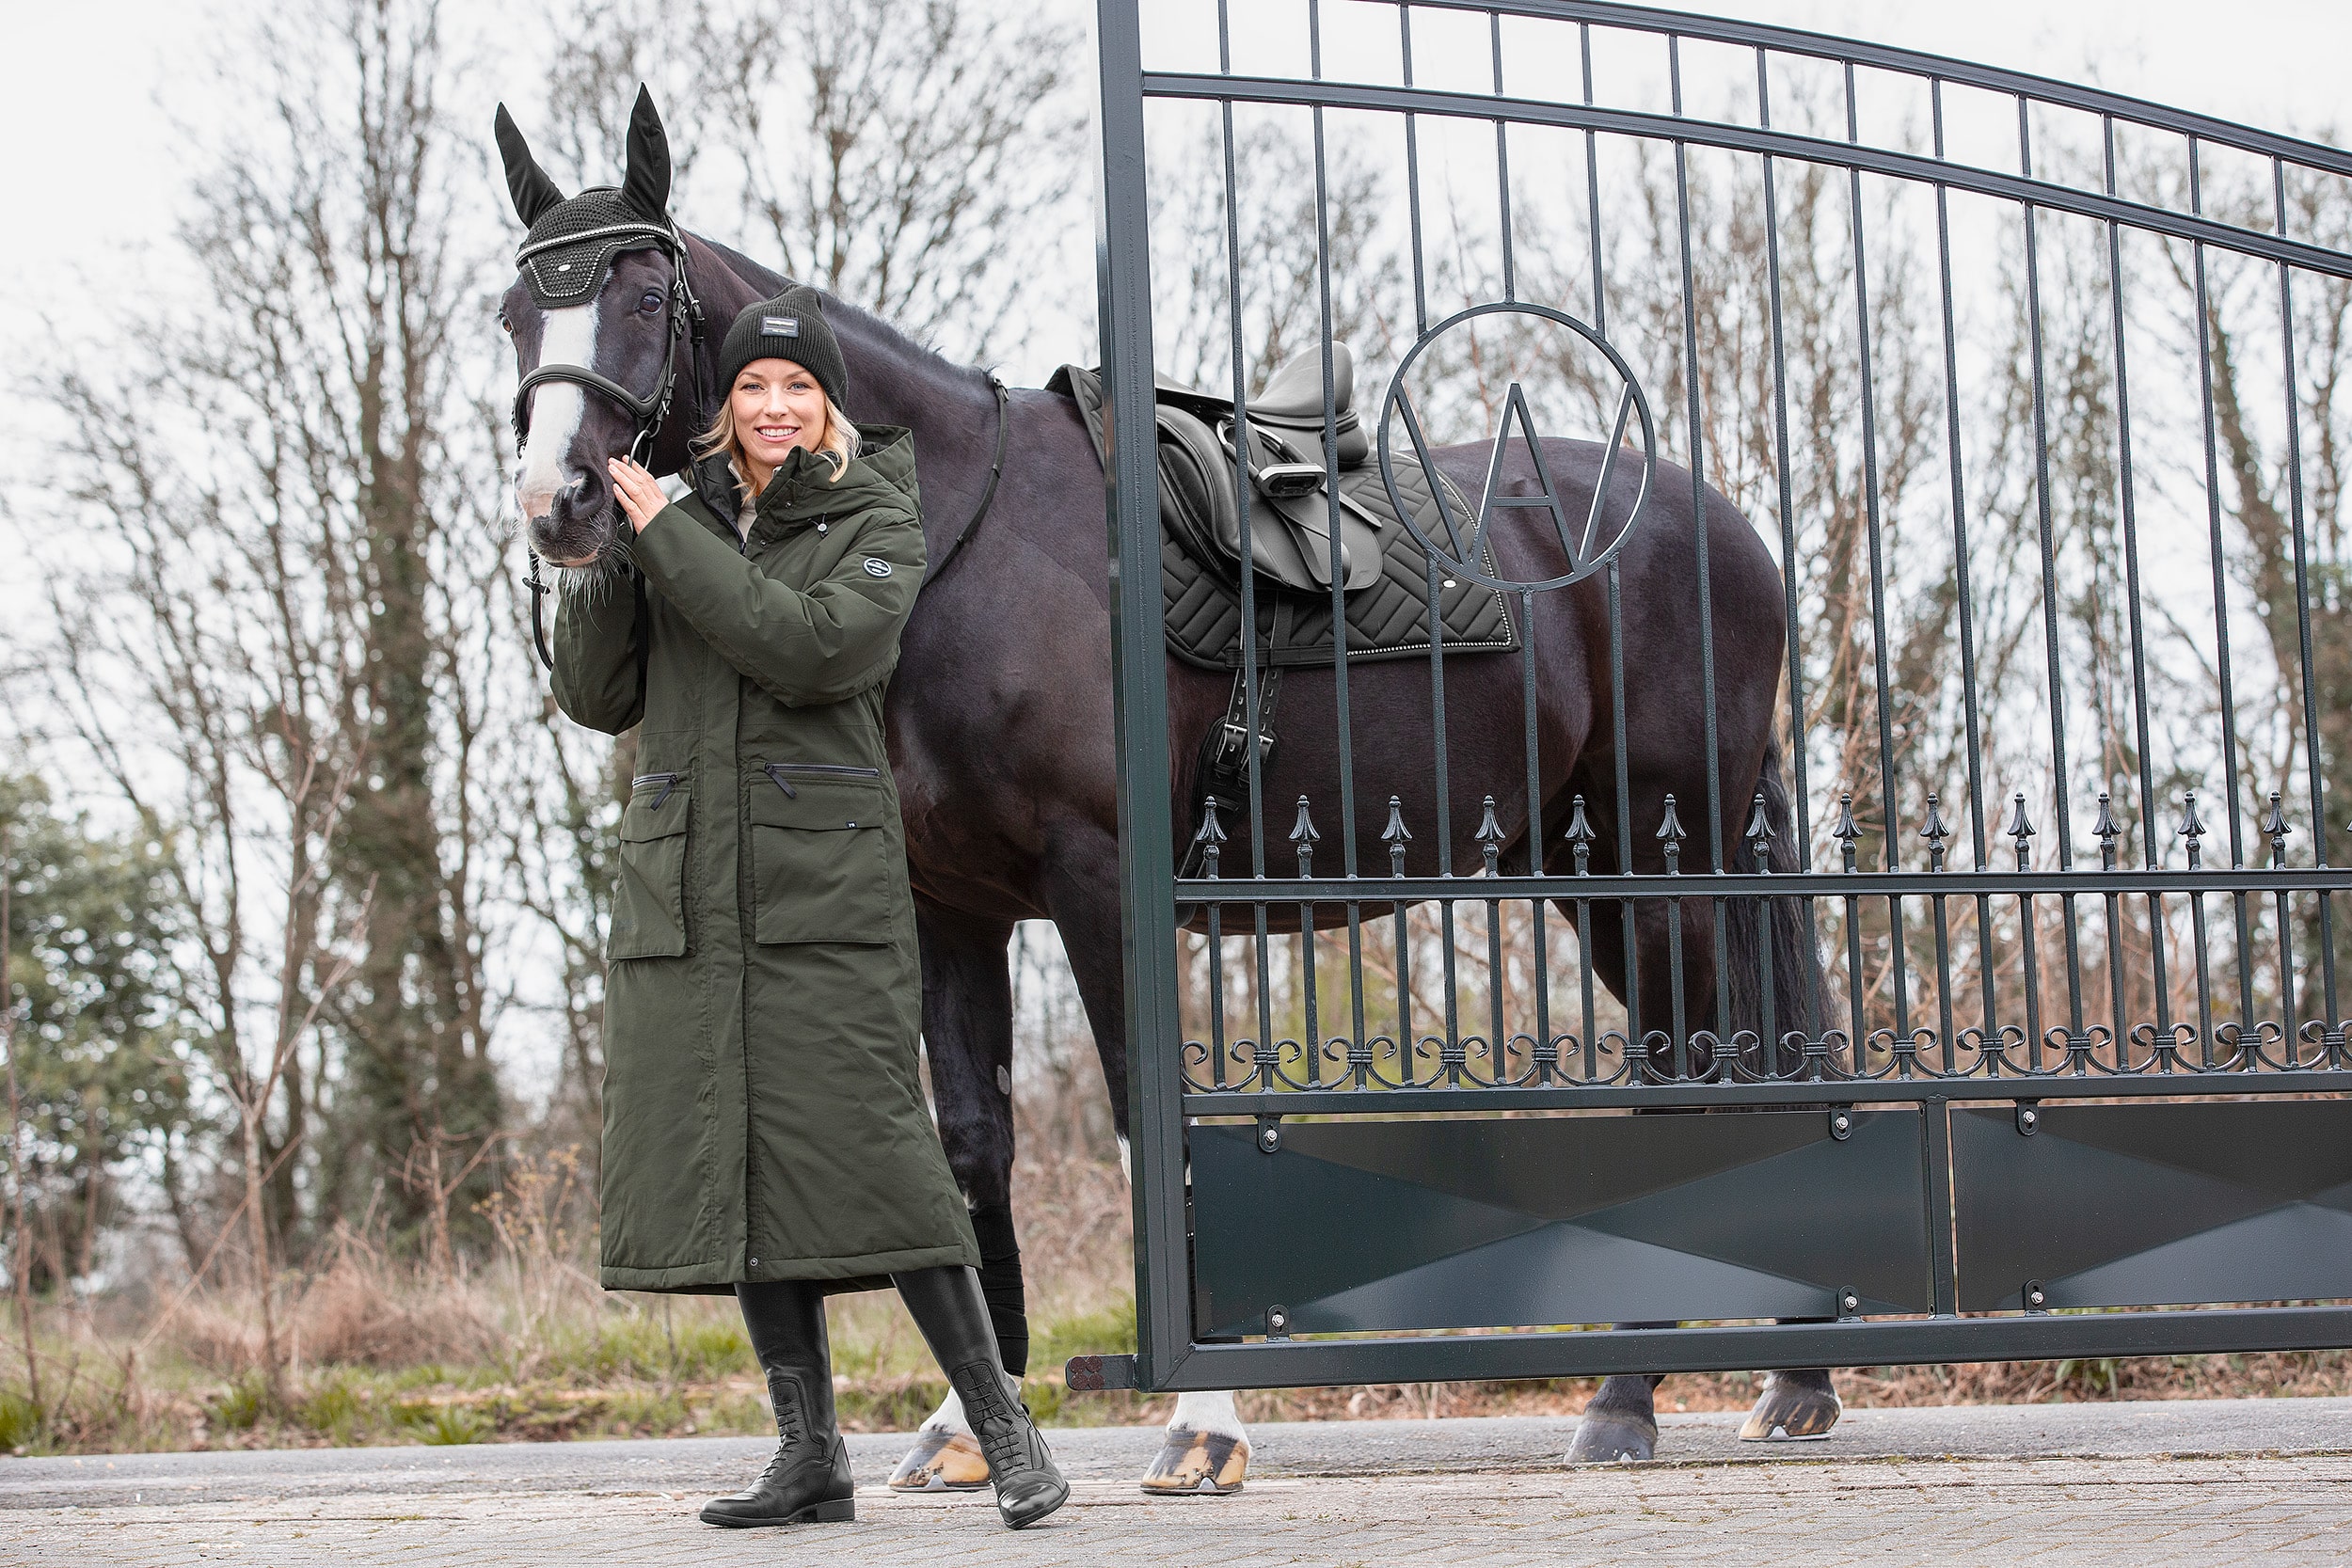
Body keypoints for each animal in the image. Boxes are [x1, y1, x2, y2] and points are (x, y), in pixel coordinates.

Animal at [496, 88, 1844, 1485]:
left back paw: (1626, 1397)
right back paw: (1788, 1379)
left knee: (1692, 1076)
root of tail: (1718, 522)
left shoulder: (1099, 885)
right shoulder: (952, 908)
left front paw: (1204, 1422)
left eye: (647, 294)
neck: (959, 539)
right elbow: (974, 1143)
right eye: (514, 312)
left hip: (1664, 857)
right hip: (1598, 873)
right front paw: (966, 1425)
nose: (558, 501)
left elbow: (1143, 1124)